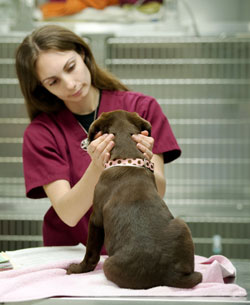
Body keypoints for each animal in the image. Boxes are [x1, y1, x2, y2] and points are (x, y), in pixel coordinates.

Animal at [67, 109, 203, 288]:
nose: (82, 142)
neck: (127, 156)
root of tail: (168, 275)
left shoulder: (95, 219)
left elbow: (91, 251)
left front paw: (78, 268)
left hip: (110, 266)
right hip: (182, 225)